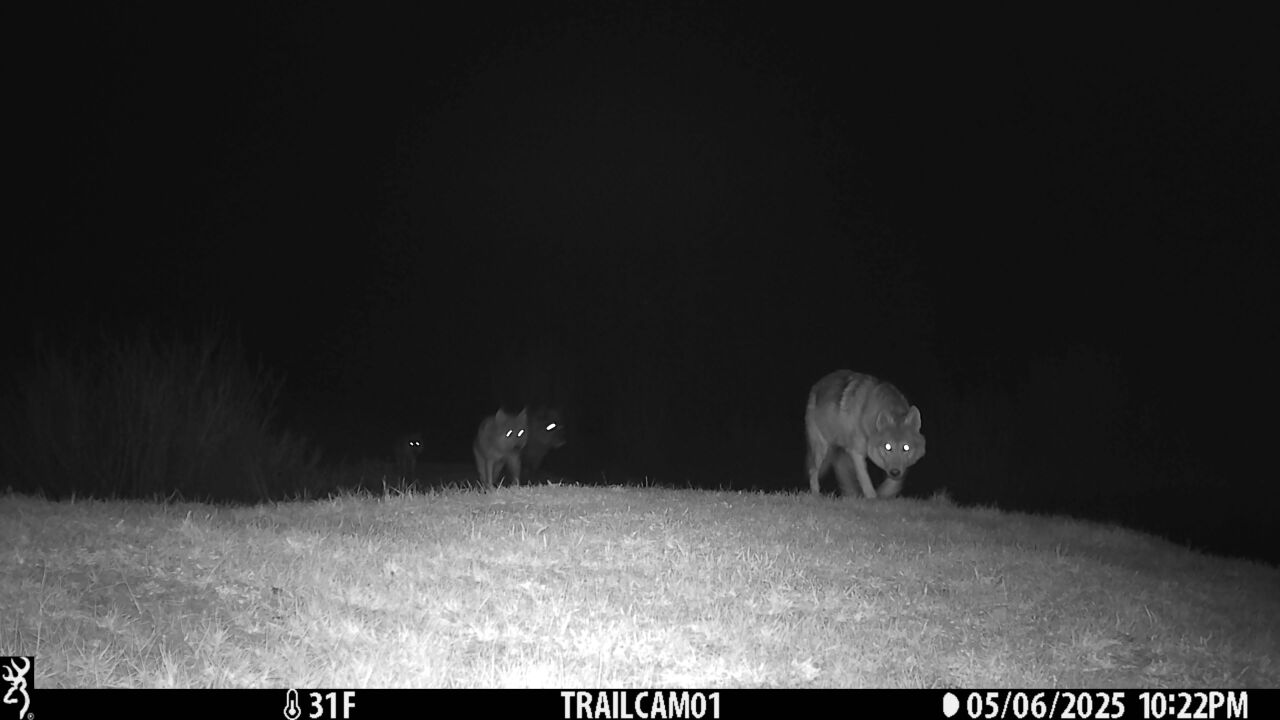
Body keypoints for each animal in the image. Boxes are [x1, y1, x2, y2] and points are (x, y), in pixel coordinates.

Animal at [805, 370, 925, 498]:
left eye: (906, 447)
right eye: (888, 447)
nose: (895, 472)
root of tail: (817, 384)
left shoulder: (902, 467)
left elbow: (894, 483)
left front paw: (885, 494)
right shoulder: (856, 452)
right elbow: (865, 479)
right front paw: (872, 497)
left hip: (840, 453)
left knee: (841, 470)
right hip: (822, 449)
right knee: (813, 470)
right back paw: (816, 495)